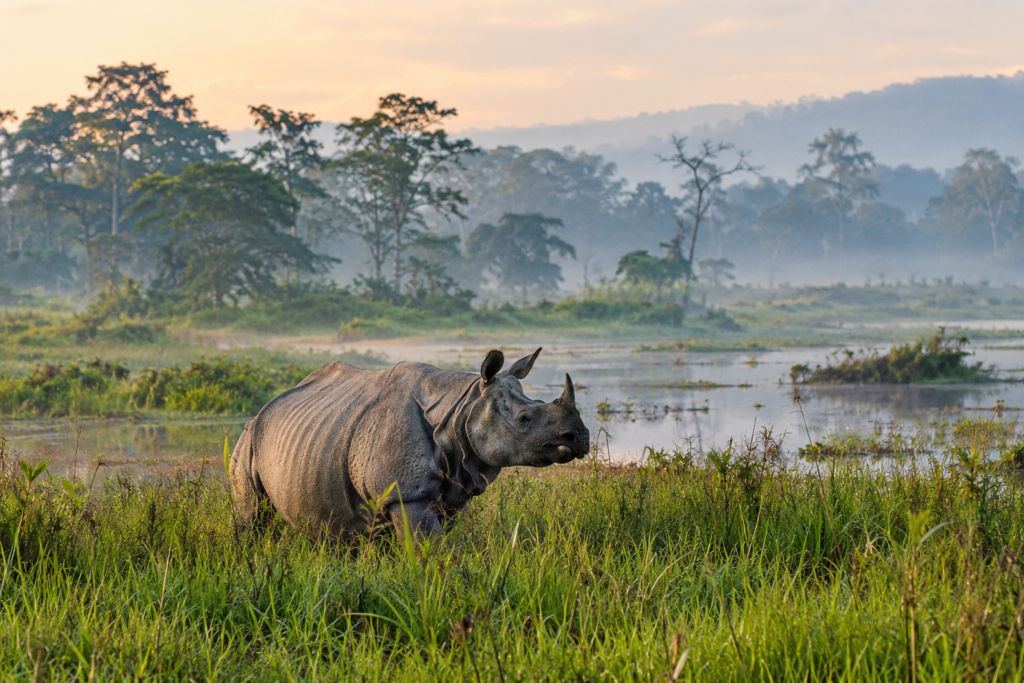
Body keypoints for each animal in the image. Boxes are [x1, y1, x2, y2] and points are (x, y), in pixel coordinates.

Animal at [229, 347, 589, 539]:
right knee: (253, 515)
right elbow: (431, 549)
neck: (462, 406)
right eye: (524, 419)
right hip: (248, 440)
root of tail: (261, 410)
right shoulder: (404, 491)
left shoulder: (455, 486)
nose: (580, 438)